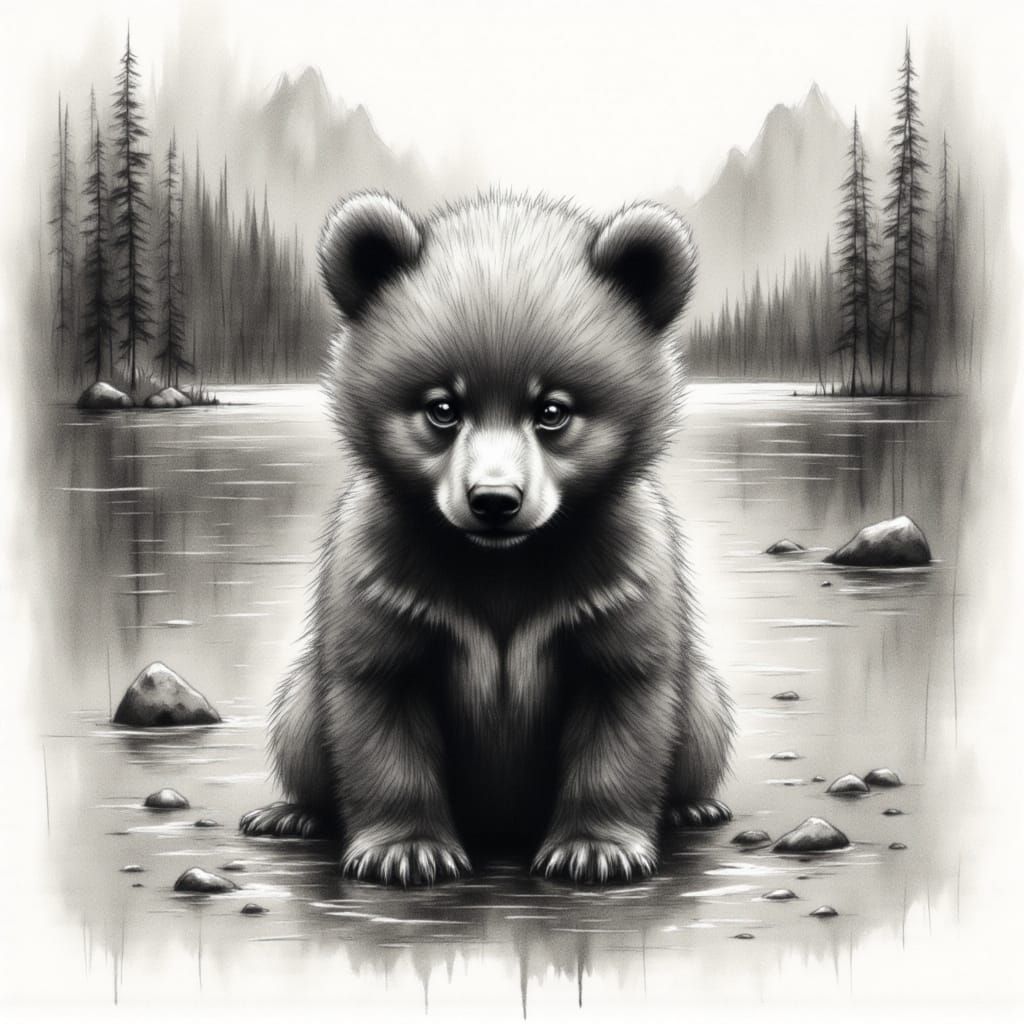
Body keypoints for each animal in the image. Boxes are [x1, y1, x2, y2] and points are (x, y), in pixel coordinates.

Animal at [240, 191, 734, 886]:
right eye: (443, 407)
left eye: (552, 410)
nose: (494, 501)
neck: (502, 564)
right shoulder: (385, 577)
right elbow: (377, 701)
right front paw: (406, 850)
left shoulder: (617, 577)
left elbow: (625, 700)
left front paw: (595, 849)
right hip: (301, 701)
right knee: (298, 724)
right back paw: (292, 813)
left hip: (703, 701)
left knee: (703, 719)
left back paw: (693, 806)